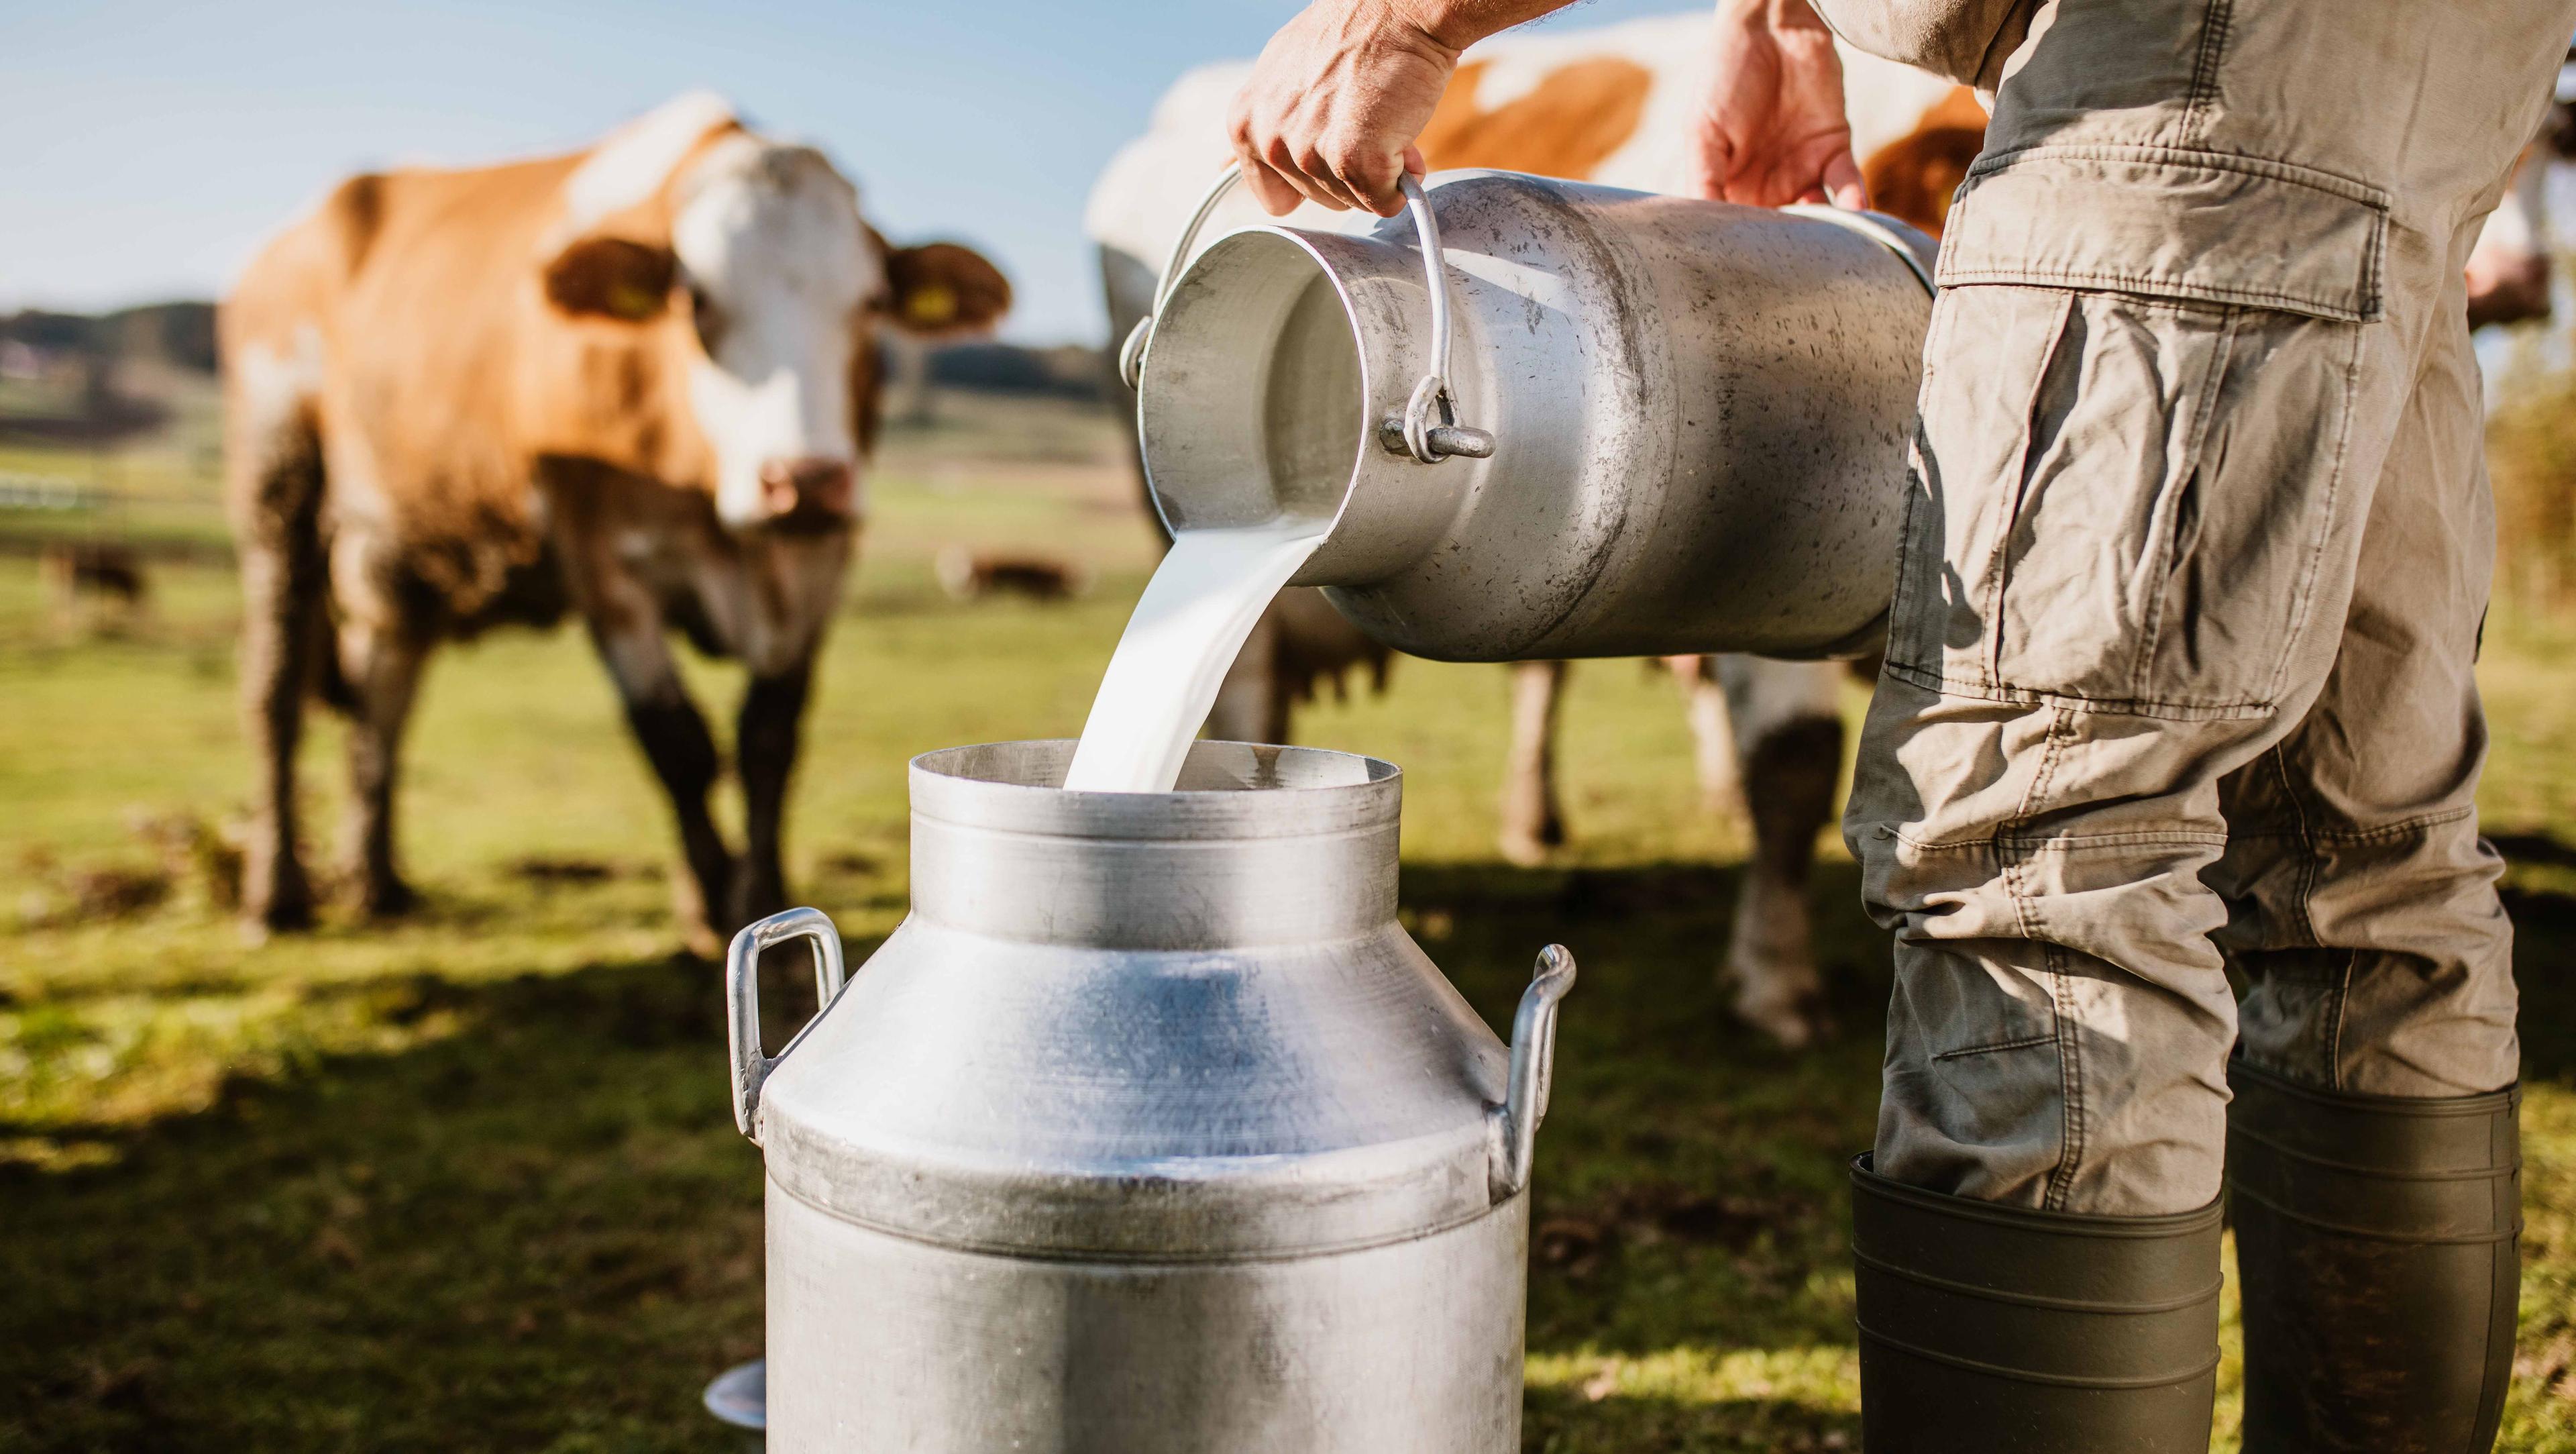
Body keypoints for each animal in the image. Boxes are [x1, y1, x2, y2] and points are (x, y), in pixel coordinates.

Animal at [224, 93, 1004, 953]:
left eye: (869, 305)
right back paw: (276, 893)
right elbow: (678, 741)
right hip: (279, 484)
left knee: (382, 699)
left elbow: (769, 739)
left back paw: (378, 879)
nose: (802, 480)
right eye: (696, 301)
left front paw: (764, 895)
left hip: (400, 555)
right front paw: (712, 909)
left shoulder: (820, 562)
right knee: (276, 690)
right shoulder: (605, 565)